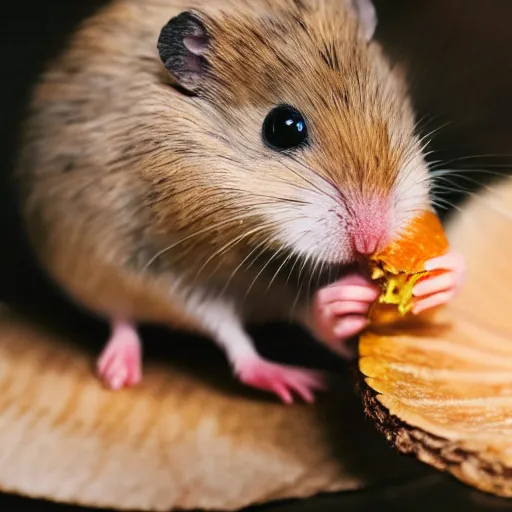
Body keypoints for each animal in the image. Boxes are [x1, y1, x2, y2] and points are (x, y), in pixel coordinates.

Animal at [13, 0, 464, 402]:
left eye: (386, 107)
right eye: (283, 127)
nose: (374, 239)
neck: (254, 241)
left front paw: (441, 276)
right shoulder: (162, 268)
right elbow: (228, 324)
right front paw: (337, 308)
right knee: (126, 318)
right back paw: (122, 373)